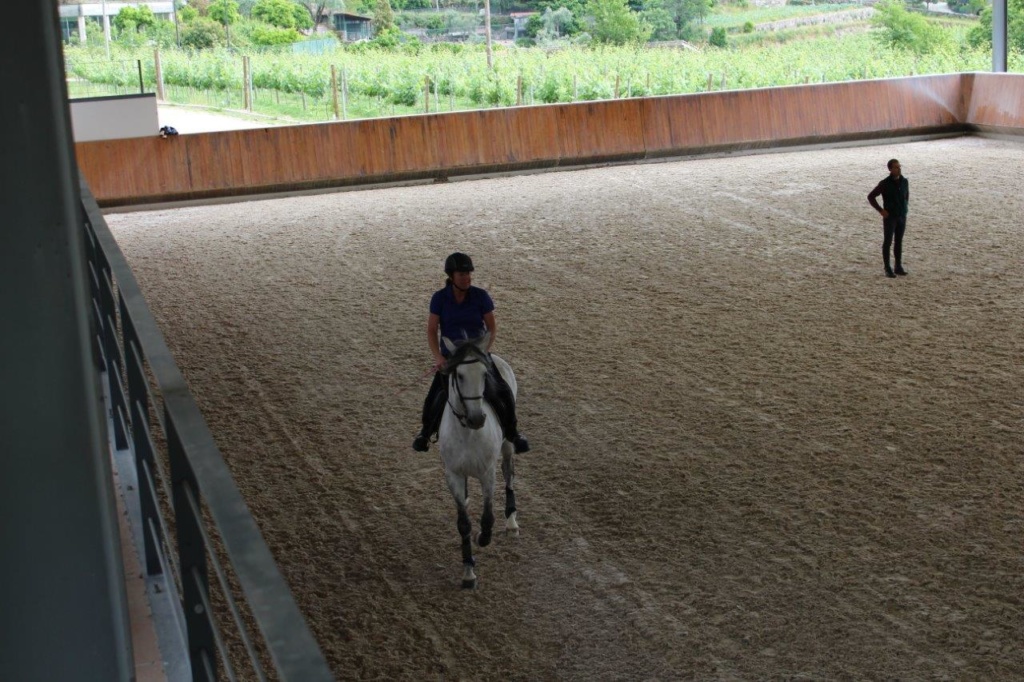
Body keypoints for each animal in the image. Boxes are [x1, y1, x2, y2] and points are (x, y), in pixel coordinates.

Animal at [438, 331, 520, 585]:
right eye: (459, 375)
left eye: (484, 374)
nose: (477, 418)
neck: (468, 433)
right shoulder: (453, 474)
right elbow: (463, 524)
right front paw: (468, 572)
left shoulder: (487, 473)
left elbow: (487, 517)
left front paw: (482, 538)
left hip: (508, 444)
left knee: (509, 473)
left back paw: (512, 523)